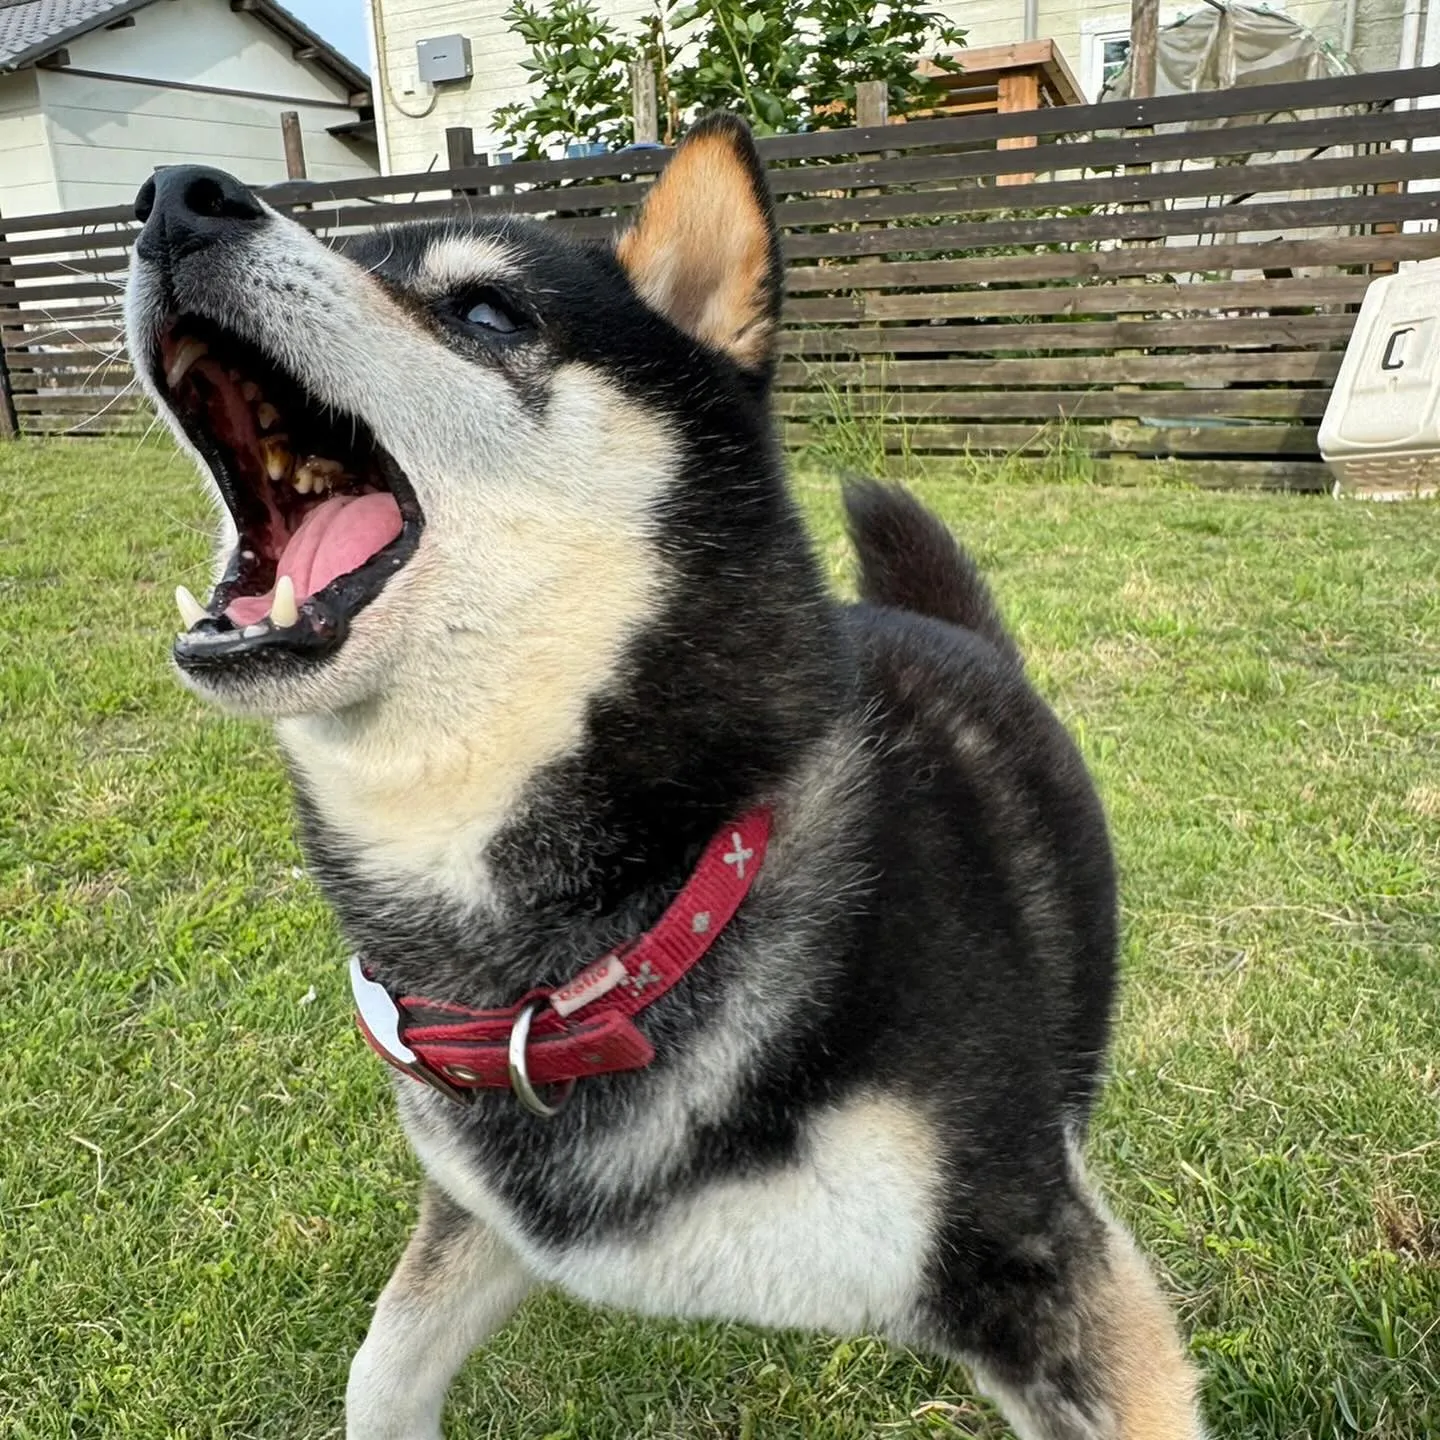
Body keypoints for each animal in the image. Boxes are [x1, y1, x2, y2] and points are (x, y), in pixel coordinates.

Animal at [120, 115, 1203, 1440]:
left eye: (485, 311)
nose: (177, 196)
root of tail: (937, 623)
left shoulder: (1047, 1271)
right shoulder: (483, 1216)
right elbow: (381, 1372)